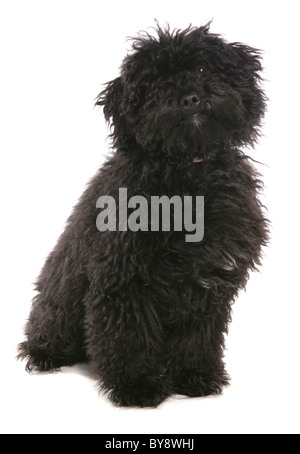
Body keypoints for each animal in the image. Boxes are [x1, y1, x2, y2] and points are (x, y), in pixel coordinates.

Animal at [18, 24, 268, 408]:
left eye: (201, 68)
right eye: (156, 84)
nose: (190, 98)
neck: (188, 174)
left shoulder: (208, 283)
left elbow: (196, 338)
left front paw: (193, 377)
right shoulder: (125, 279)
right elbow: (130, 338)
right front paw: (138, 386)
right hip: (59, 307)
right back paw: (44, 355)